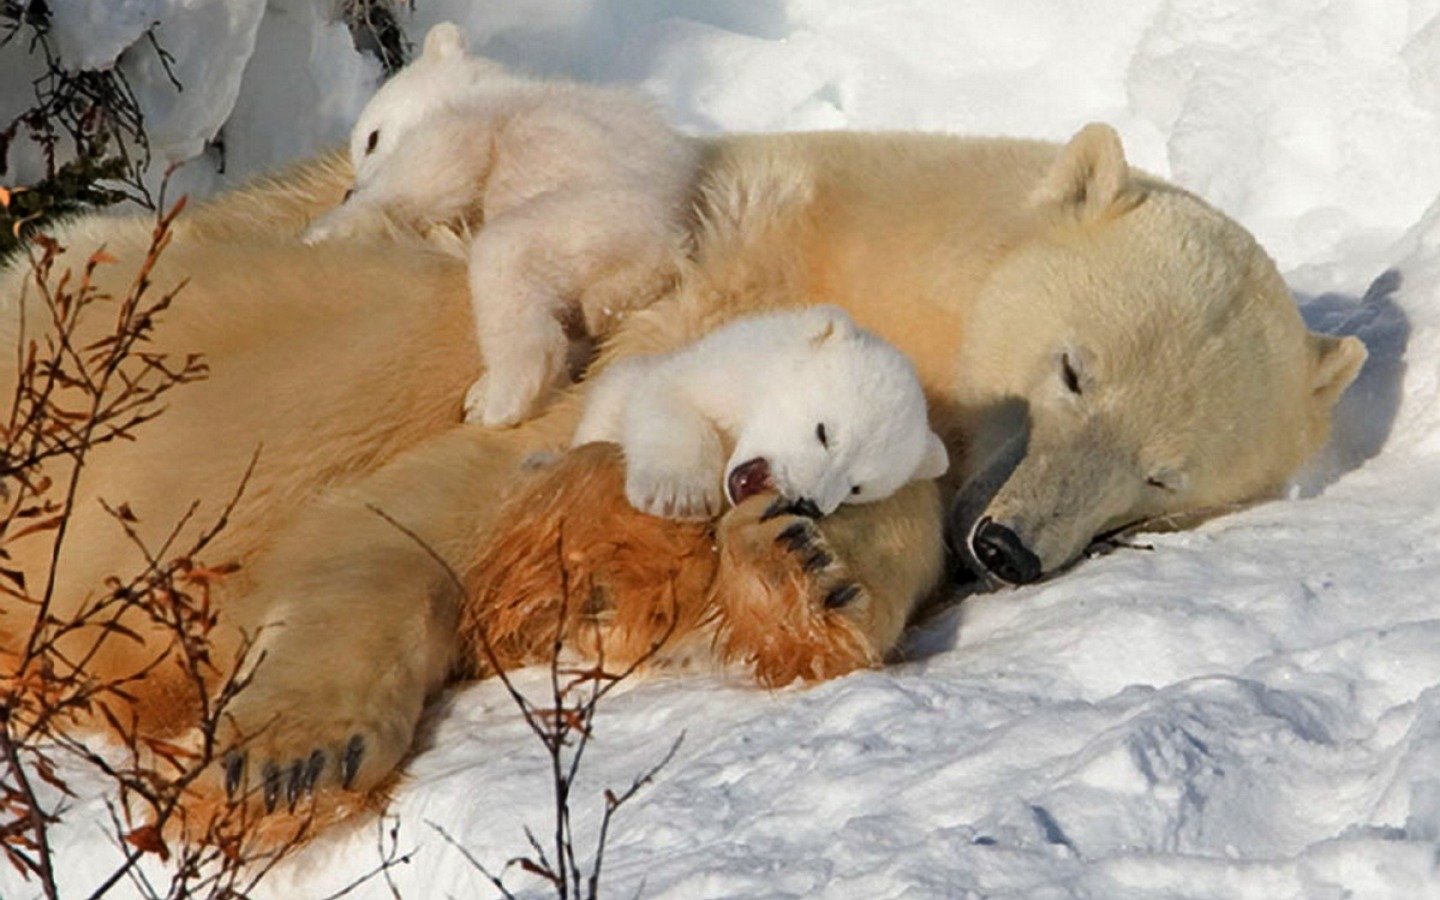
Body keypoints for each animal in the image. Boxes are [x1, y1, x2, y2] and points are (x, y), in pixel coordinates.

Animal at [302, 22, 699, 427]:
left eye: (372, 138)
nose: (348, 191)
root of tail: (666, 247)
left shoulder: (473, 118)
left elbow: (433, 174)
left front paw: (324, 230)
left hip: (589, 219)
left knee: (505, 261)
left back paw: (498, 400)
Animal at [571, 304, 949, 520]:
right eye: (824, 433)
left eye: (858, 488)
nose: (807, 505)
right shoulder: (711, 374)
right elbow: (665, 397)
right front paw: (678, 496)